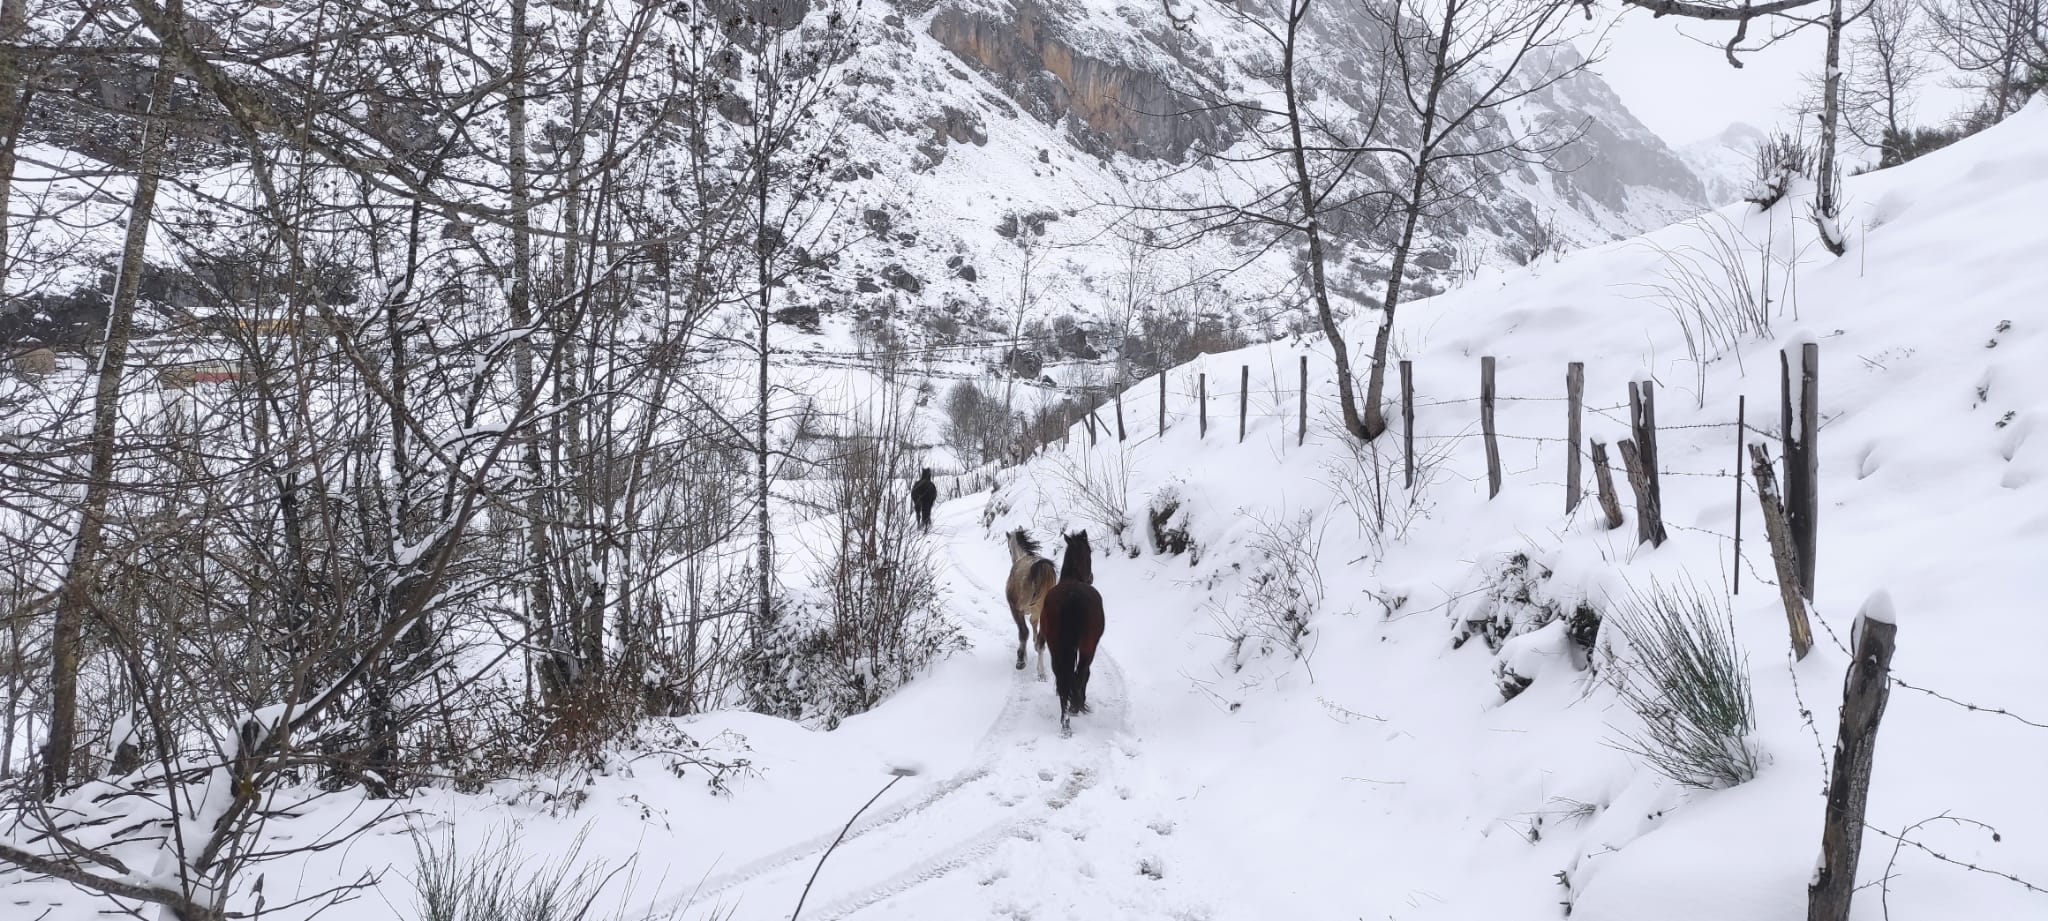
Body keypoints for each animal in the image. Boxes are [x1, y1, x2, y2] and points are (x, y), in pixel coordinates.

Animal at [1003, 528, 1056, 671]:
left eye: (1009, 549)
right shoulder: (1036, 613)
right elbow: (1033, 623)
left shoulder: (1017, 610)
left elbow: (1023, 632)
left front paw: (1022, 656)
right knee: (1042, 638)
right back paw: (1041, 671)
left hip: (1017, 609)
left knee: (1023, 632)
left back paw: (1021, 661)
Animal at [1040, 528, 1105, 728]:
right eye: (1090, 551)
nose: (1091, 578)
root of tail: (1072, 597)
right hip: (1088, 646)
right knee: (1081, 673)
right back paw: (1075, 706)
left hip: (1056, 646)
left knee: (1062, 676)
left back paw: (1065, 720)